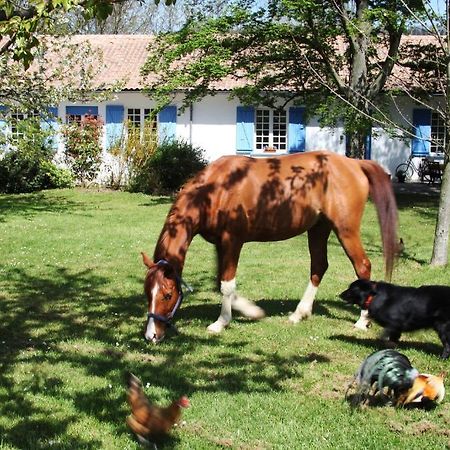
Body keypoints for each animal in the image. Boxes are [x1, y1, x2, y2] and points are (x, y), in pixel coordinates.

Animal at [142, 149, 398, 342]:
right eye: (147, 293)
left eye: (167, 294)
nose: (151, 336)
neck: (216, 189)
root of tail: (354, 163)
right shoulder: (220, 244)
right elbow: (220, 283)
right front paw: (251, 310)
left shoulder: (232, 241)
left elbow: (226, 285)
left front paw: (222, 322)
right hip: (318, 228)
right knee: (319, 266)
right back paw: (299, 313)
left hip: (346, 230)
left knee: (362, 266)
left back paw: (362, 320)